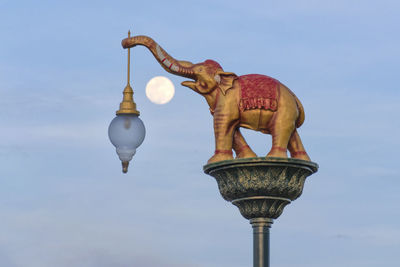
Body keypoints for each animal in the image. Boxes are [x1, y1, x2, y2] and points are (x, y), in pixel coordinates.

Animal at [123, 36, 310, 163]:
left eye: (199, 70)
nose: (125, 43)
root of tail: (295, 97)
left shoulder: (228, 101)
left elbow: (223, 124)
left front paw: (215, 161)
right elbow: (233, 129)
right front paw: (246, 157)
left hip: (284, 108)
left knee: (281, 128)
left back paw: (273, 157)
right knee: (292, 132)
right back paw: (301, 160)